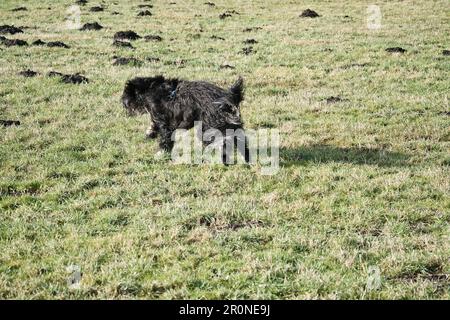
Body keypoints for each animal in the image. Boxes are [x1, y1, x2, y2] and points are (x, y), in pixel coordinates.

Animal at [121, 75, 250, 162]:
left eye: (126, 93)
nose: (123, 102)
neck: (150, 89)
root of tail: (228, 96)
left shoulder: (164, 122)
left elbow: (164, 138)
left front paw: (161, 153)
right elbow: (153, 126)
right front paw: (149, 133)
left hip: (209, 127)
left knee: (222, 142)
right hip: (230, 125)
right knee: (240, 140)